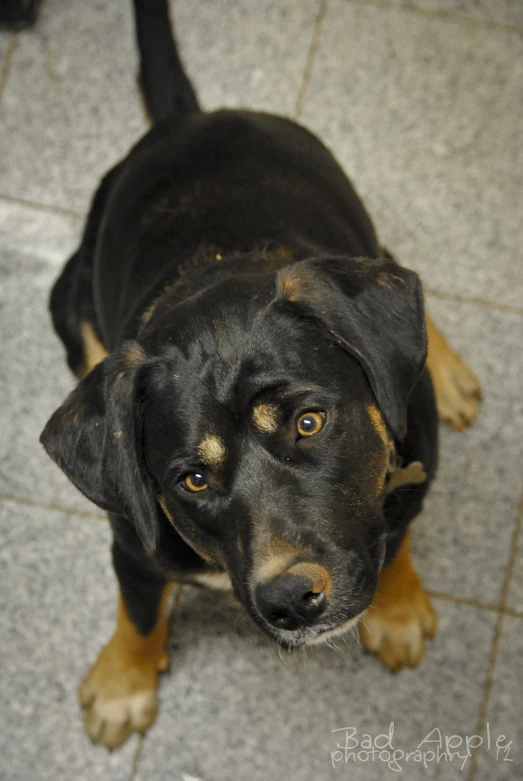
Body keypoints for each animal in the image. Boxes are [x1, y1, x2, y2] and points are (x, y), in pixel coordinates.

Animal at [40, 0, 484, 748]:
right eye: (191, 479)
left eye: (309, 421)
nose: (292, 598)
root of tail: (193, 117)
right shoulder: (132, 540)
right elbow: (137, 607)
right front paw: (124, 682)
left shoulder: (410, 476)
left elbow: (395, 541)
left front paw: (397, 609)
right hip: (71, 300)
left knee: (397, 264)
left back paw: (445, 370)